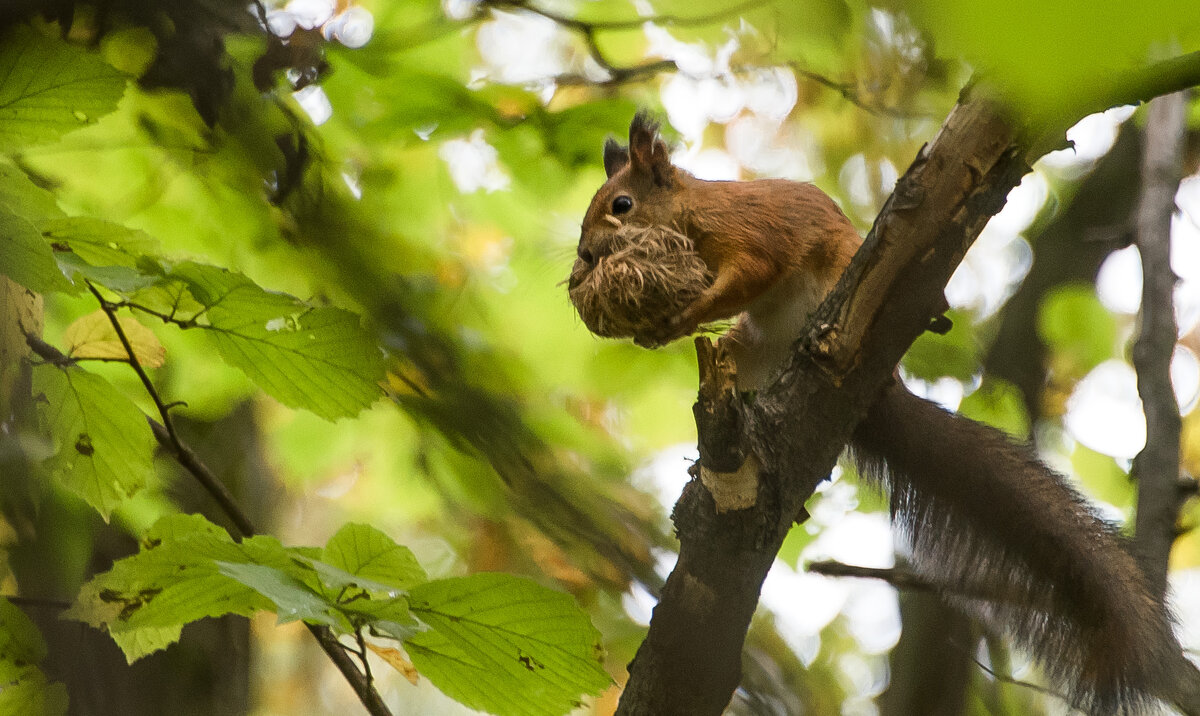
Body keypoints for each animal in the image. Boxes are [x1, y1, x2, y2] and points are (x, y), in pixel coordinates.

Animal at [571, 109, 1200, 710]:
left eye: (621, 205)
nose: (582, 256)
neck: (692, 212)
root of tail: (882, 396)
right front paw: (656, 329)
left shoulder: (749, 234)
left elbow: (748, 274)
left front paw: (681, 313)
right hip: (753, 354)